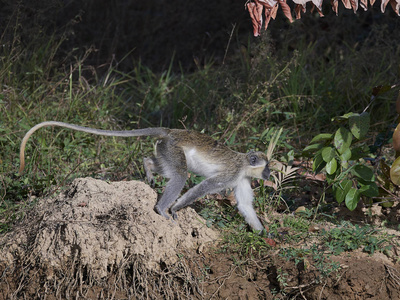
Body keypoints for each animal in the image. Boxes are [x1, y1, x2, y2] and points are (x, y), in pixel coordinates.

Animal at [18, 122, 268, 232]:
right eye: (267, 167)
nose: (268, 174)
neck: (245, 165)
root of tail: (170, 131)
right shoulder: (232, 173)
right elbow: (205, 186)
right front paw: (175, 209)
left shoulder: (243, 179)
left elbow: (245, 205)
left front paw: (263, 234)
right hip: (172, 147)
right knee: (180, 175)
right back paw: (161, 209)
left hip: (165, 149)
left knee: (167, 168)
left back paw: (148, 166)